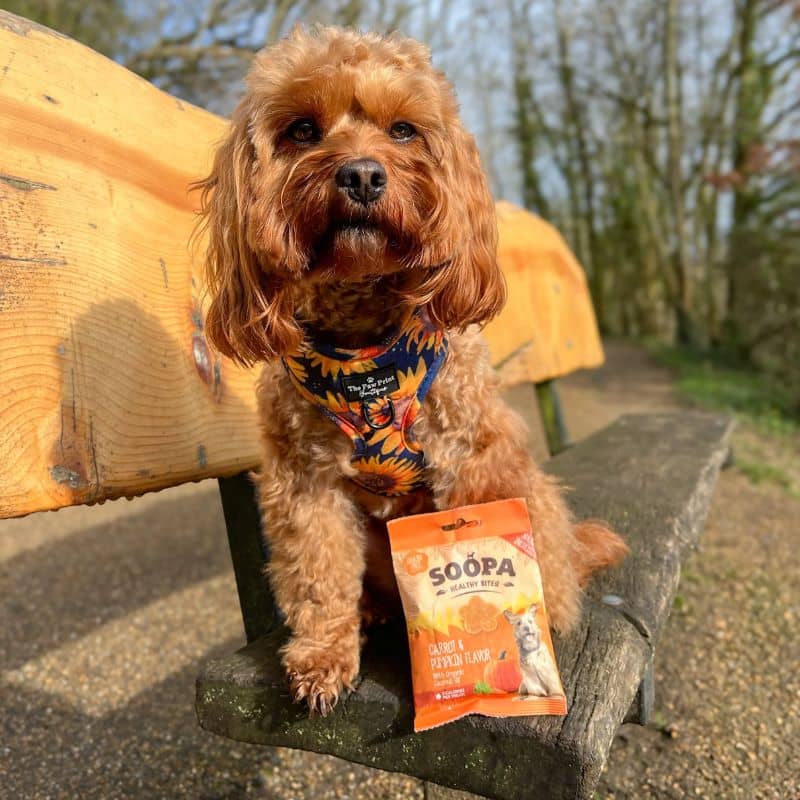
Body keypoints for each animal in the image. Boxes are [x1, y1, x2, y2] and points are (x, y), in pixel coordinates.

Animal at [197, 25, 628, 716]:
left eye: (403, 130)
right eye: (301, 130)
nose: (362, 173)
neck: (365, 355)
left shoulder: (472, 460)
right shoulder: (304, 484)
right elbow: (318, 574)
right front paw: (323, 655)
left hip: (529, 492)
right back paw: (374, 610)